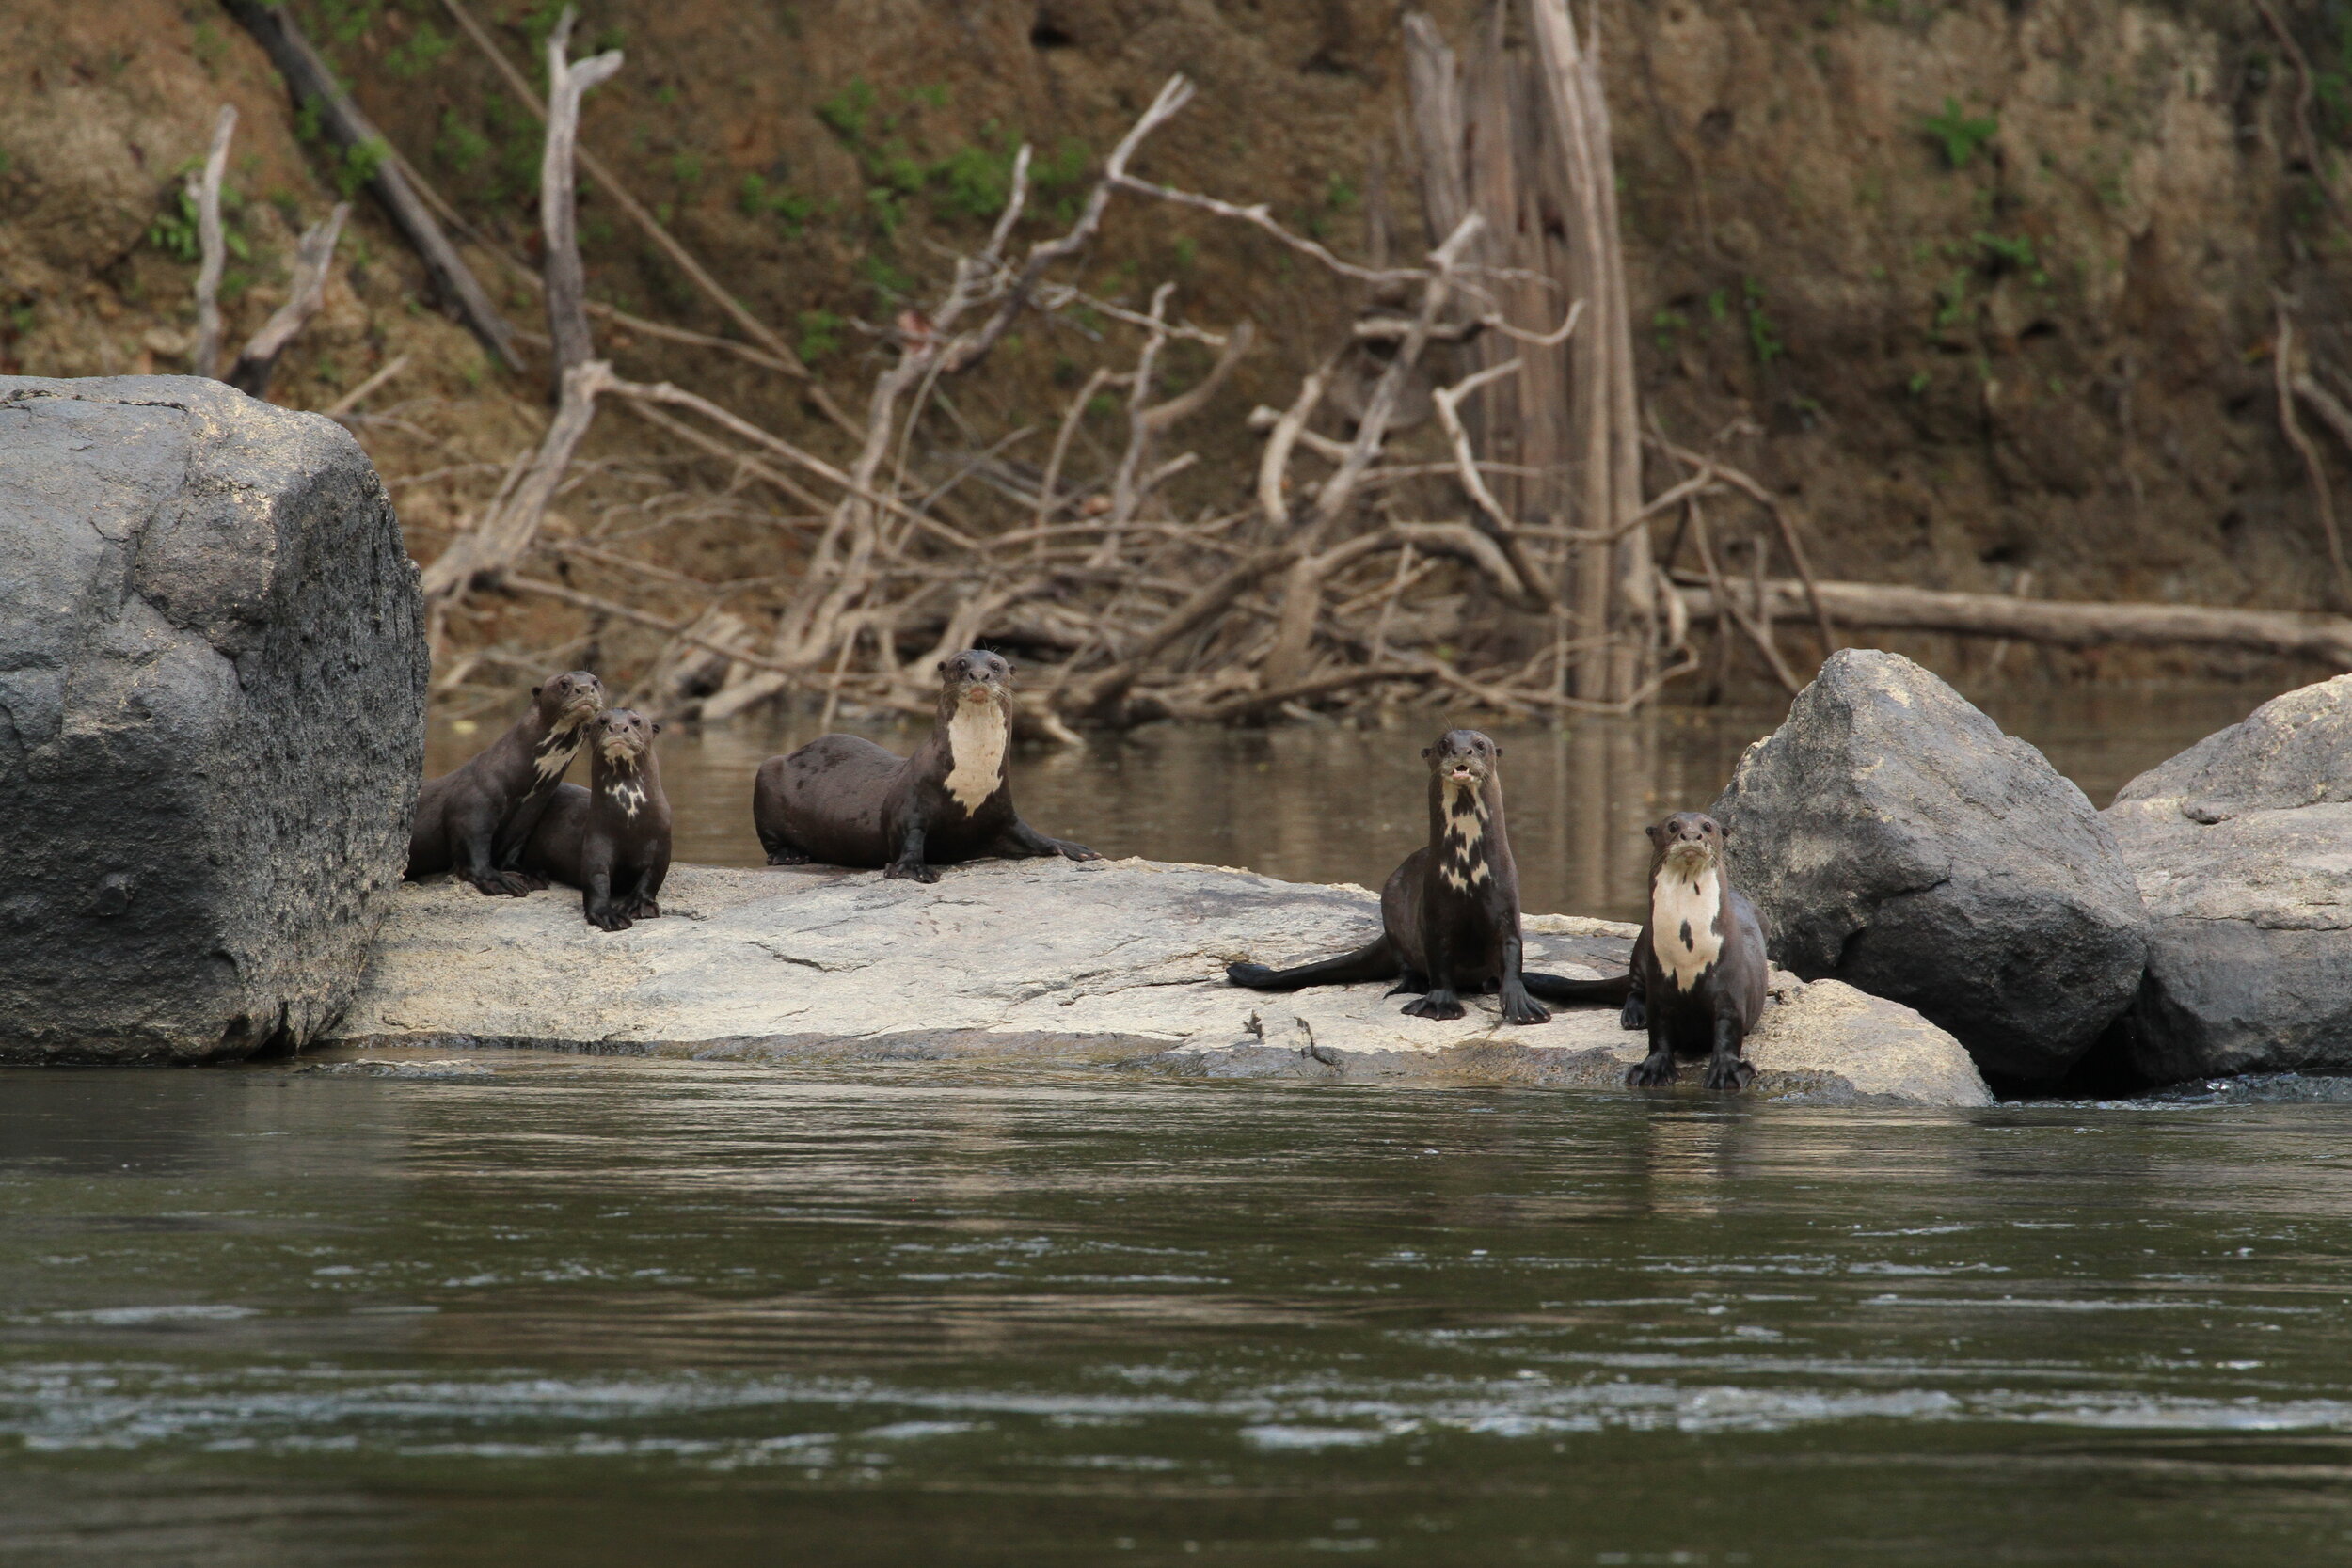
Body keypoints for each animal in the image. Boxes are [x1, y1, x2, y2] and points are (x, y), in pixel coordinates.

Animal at [406, 670, 603, 895]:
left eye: (596, 681)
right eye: (564, 683)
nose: (585, 689)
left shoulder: (530, 812)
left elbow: (512, 847)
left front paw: (528, 873)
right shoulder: (472, 805)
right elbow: (472, 851)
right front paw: (498, 879)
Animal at [519, 708, 672, 932]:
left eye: (636, 721)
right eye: (602, 721)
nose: (618, 726)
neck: (630, 818)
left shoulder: (661, 841)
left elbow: (652, 877)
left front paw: (639, 904)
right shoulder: (598, 837)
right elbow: (595, 878)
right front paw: (606, 914)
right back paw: (533, 875)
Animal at [752, 649, 1099, 884]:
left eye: (996, 665)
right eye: (961, 664)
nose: (979, 676)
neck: (971, 780)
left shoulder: (1003, 809)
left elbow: (1032, 836)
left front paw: (1073, 848)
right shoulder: (912, 804)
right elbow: (911, 836)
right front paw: (912, 867)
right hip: (766, 773)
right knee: (769, 837)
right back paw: (790, 854)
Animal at [1227, 728, 1631, 1023]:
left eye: (1480, 745)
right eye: (1443, 744)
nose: (1462, 753)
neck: (1467, 872)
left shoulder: (1506, 904)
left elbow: (1513, 952)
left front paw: (1521, 1004)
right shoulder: (1435, 910)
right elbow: (1439, 958)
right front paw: (1439, 1003)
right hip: (1391, 906)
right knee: (1406, 963)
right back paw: (1407, 986)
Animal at [1622, 811, 1768, 1090]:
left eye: (1707, 826)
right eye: (1672, 826)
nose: (1691, 835)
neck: (1688, 954)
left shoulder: (1729, 987)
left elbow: (1728, 1029)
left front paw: (1727, 1072)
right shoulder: (1660, 989)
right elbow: (1658, 1031)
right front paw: (1653, 1069)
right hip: (1643, 941)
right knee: (1634, 988)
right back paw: (1634, 1015)